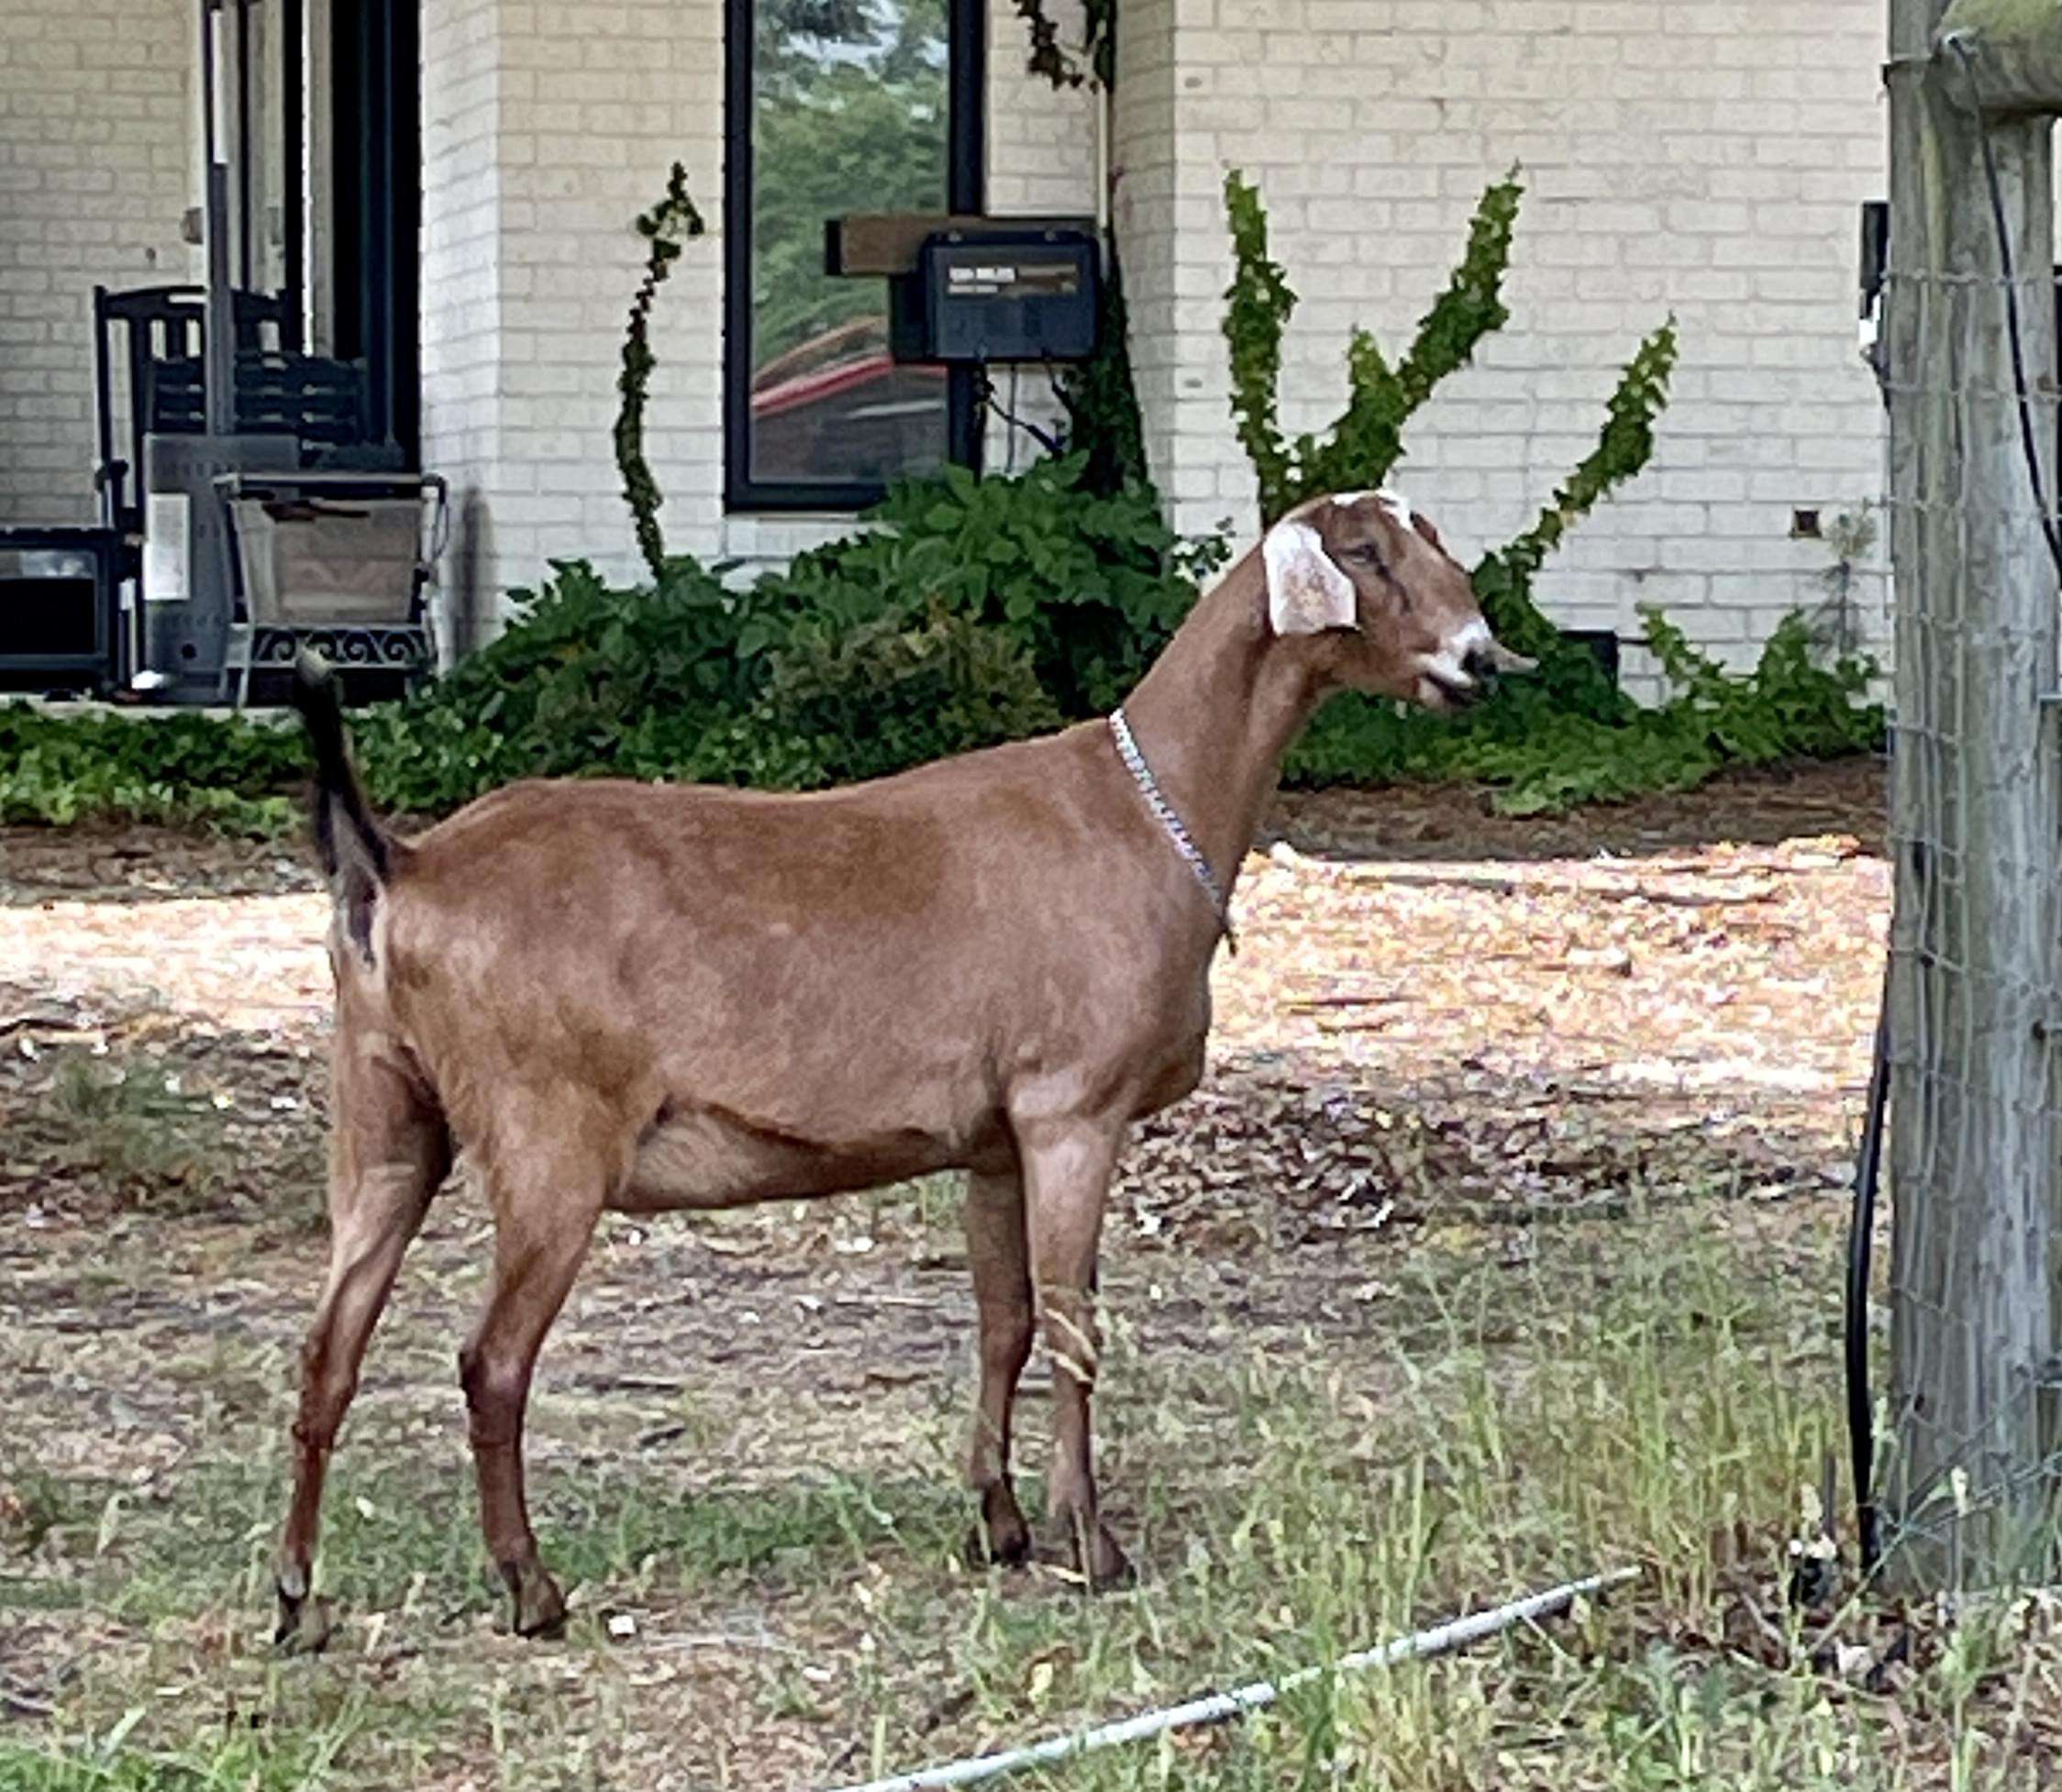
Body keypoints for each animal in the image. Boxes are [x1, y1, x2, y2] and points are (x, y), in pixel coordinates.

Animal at [273, 486, 1534, 1632]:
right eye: (1364, 552)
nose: (1479, 657)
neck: (1143, 809)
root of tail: (403, 866)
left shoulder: (992, 1140)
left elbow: (1004, 1321)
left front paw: (1002, 1523)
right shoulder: (1071, 1107)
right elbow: (1073, 1323)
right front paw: (1092, 1543)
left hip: (382, 1114)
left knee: (328, 1348)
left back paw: (297, 1602)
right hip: (548, 1133)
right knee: (489, 1361)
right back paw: (531, 1591)